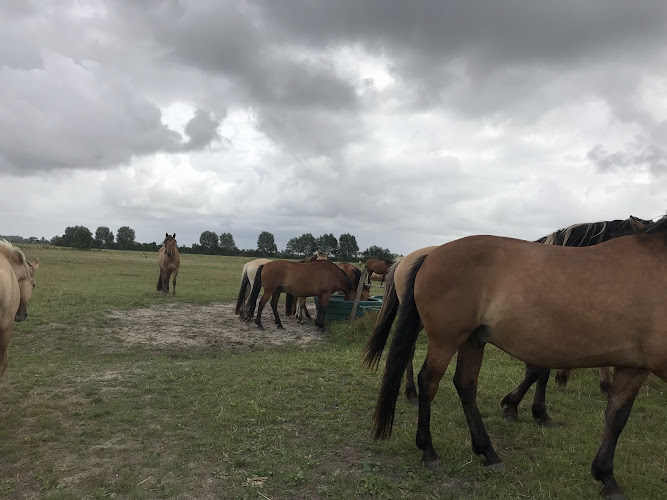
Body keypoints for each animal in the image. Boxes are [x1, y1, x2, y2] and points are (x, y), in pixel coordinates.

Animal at [367, 215, 667, 499]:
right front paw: (523, 409)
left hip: (472, 340)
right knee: (428, 381)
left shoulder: (632, 366)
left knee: (465, 385)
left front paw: (606, 476)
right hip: (445, 340)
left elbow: (616, 417)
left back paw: (488, 452)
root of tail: (429, 255)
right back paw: (428, 448)